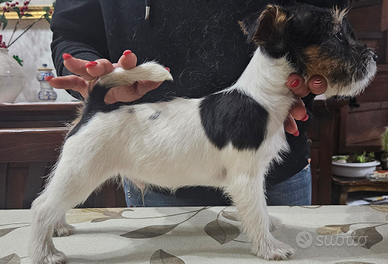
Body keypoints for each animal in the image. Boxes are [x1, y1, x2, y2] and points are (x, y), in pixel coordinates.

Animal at [30, 3, 376, 262]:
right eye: (337, 35)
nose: (373, 56)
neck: (261, 97)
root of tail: (95, 107)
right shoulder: (246, 178)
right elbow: (255, 211)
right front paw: (268, 247)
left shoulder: (255, 175)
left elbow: (261, 209)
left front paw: (270, 225)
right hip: (82, 172)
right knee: (42, 206)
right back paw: (45, 253)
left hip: (76, 172)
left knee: (52, 203)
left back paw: (59, 229)